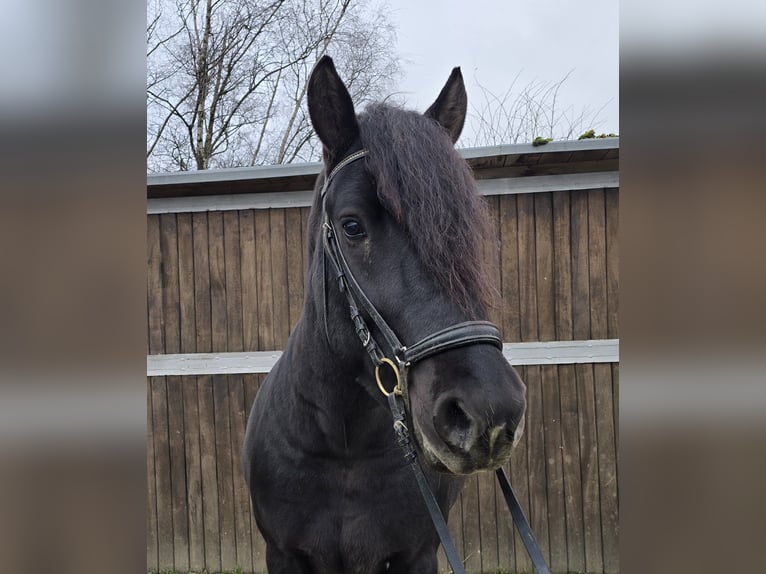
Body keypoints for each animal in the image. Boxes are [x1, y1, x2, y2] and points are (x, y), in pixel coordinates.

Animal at [244, 57, 528, 574]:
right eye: (352, 226)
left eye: (465, 231)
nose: (490, 411)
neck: (343, 447)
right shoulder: (283, 554)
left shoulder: (417, 554)